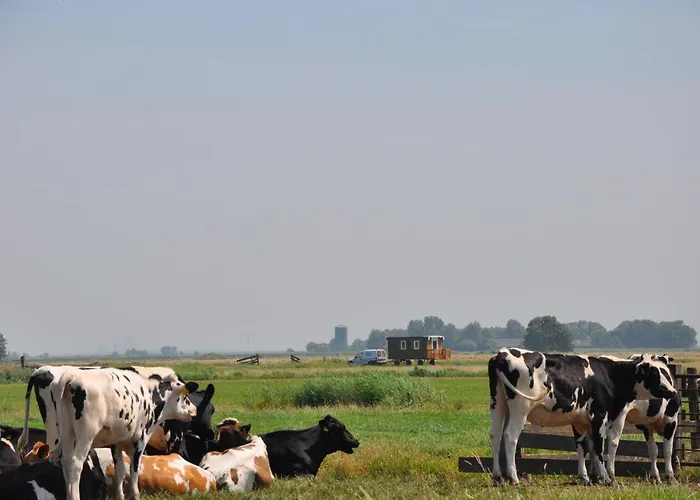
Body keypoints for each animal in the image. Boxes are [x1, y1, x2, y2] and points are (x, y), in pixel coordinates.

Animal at [53, 368, 198, 500]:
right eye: (185, 397)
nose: (195, 409)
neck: (151, 396)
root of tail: (73, 375)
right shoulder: (140, 439)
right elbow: (134, 469)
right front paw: (135, 495)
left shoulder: (116, 442)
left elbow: (120, 471)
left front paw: (120, 496)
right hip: (86, 435)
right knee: (75, 463)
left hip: (68, 433)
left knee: (66, 461)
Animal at [488, 348, 677, 486]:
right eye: (654, 373)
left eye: (665, 372)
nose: (673, 391)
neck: (609, 375)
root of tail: (502, 353)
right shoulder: (600, 416)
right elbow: (601, 447)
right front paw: (607, 478)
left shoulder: (579, 421)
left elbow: (583, 447)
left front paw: (587, 477)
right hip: (520, 409)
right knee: (510, 437)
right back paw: (513, 477)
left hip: (498, 405)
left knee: (495, 435)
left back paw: (498, 476)